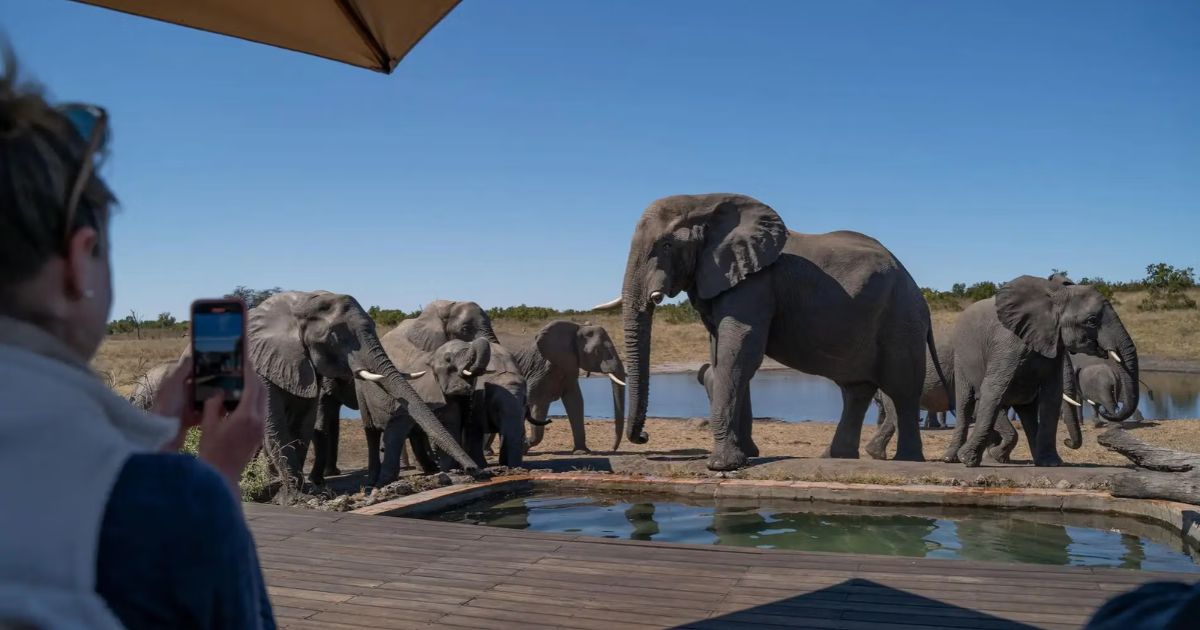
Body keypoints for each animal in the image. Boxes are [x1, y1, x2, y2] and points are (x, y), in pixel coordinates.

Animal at [516, 320, 627, 454]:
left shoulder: (569, 365)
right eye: (597, 351)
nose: (612, 449)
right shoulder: (541, 368)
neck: (577, 327)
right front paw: (524, 446)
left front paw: (582, 452)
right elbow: (538, 402)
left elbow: (575, 400)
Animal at [595, 193, 944, 470]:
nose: (643, 436)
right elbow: (723, 356)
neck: (704, 202)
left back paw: (907, 461)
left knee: (901, 389)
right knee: (855, 389)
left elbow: (739, 354)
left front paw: (723, 465)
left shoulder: (756, 284)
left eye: (667, 245)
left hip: (902, 317)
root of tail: (918, 291)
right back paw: (835, 457)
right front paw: (746, 455)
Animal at [947, 275, 1139, 467]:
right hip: (960, 359)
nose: (1067, 442)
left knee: (1027, 412)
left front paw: (1051, 463)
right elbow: (993, 390)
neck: (1054, 297)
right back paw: (952, 458)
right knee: (965, 403)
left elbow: (1052, 395)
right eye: (1092, 320)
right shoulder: (1007, 344)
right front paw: (969, 459)